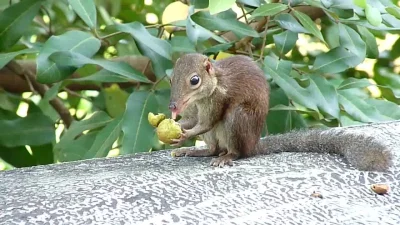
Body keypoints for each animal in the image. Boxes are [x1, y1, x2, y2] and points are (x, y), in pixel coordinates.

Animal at [166, 53, 394, 171]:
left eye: (194, 80)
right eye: (171, 78)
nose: (173, 106)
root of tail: (253, 144)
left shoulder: (218, 100)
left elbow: (206, 122)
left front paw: (184, 134)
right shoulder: (194, 110)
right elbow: (193, 120)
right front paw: (176, 127)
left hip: (236, 119)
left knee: (236, 151)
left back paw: (227, 156)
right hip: (217, 136)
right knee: (213, 148)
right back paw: (196, 151)